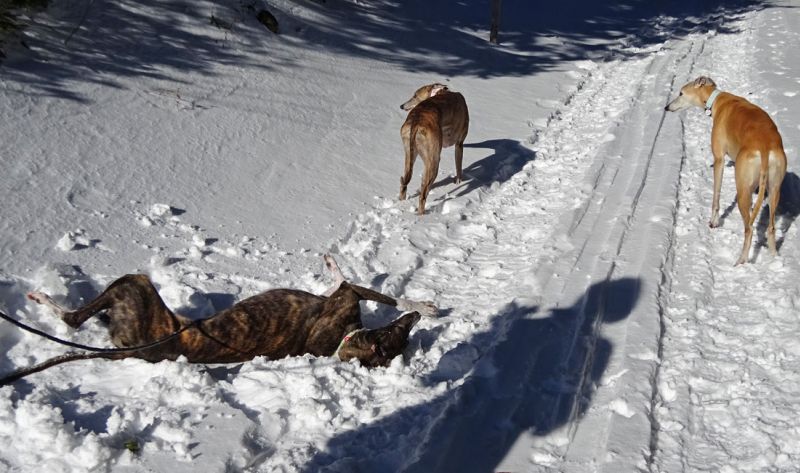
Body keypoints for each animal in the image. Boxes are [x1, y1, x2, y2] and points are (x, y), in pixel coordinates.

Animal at [23, 254, 438, 368]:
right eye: (401, 335)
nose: (415, 322)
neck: (340, 342)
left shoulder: (345, 296)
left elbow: (365, 287)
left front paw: (422, 306)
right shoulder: (339, 299)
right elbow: (361, 286)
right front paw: (426, 307)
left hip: (135, 285)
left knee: (73, 319)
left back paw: (42, 298)